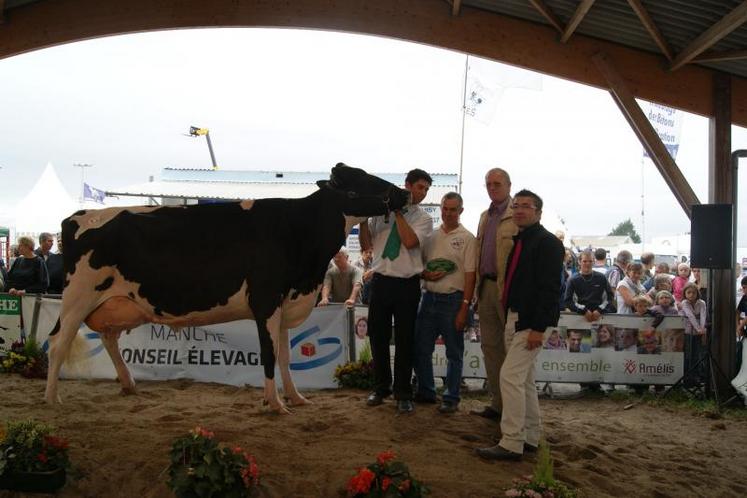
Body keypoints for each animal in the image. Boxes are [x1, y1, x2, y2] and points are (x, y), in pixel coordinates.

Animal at [45, 163, 410, 412]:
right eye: (362, 179)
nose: (404, 193)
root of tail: (79, 215)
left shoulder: (286, 304)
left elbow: (286, 356)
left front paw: (295, 398)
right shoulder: (265, 301)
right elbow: (269, 355)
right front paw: (274, 404)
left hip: (114, 303)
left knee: (108, 337)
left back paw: (128, 384)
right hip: (77, 296)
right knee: (58, 343)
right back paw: (52, 399)